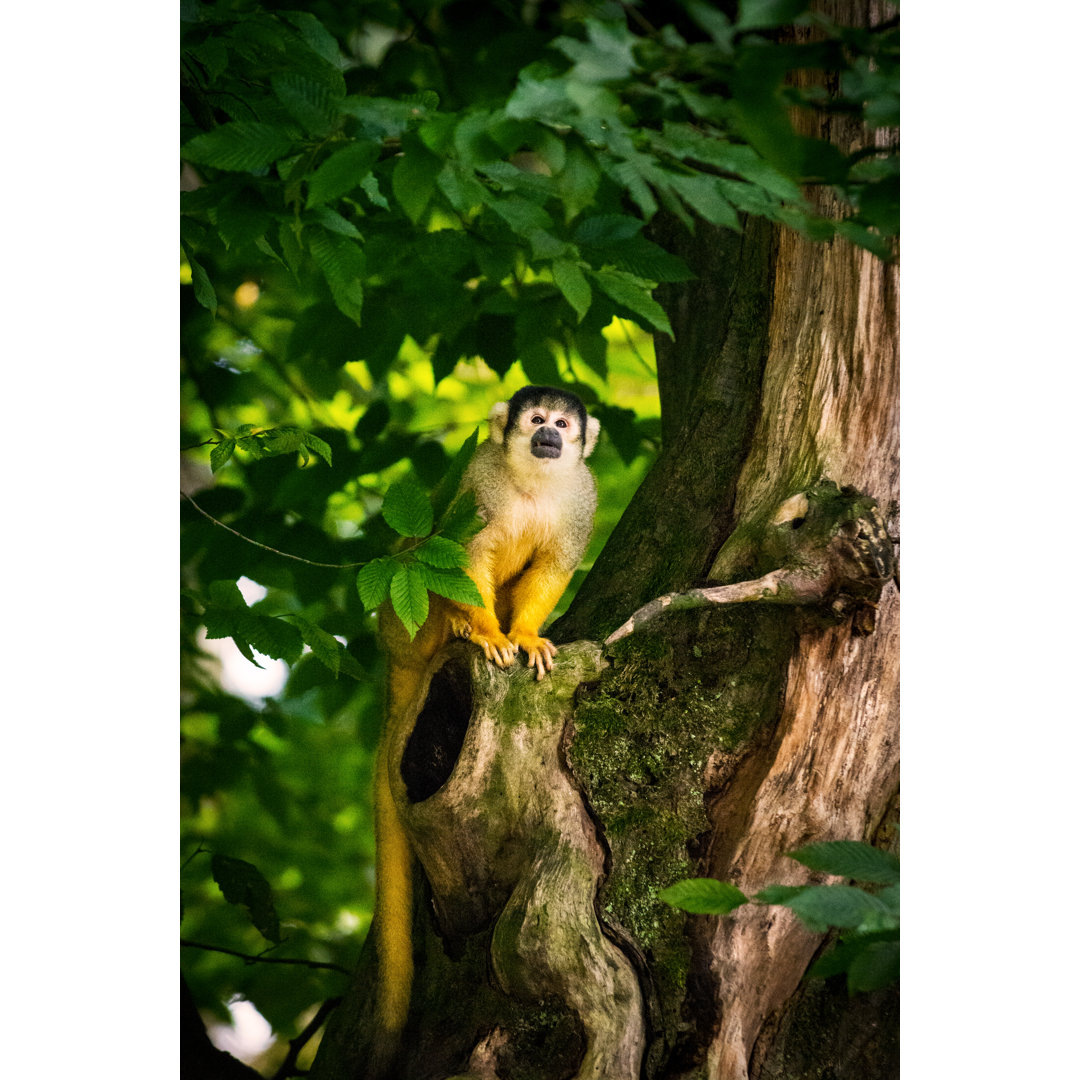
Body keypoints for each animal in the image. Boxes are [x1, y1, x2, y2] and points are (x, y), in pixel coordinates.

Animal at [373, 386, 604, 1062]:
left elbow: (553, 565)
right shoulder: (478, 482)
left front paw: (524, 635)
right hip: (399, 622)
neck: (532, 480)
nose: (549, 435)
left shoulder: (583, 499)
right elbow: (459, 554)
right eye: (536, 421)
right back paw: (458, 630)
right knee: (422, 560)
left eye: (563, 424)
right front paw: (486, 634)